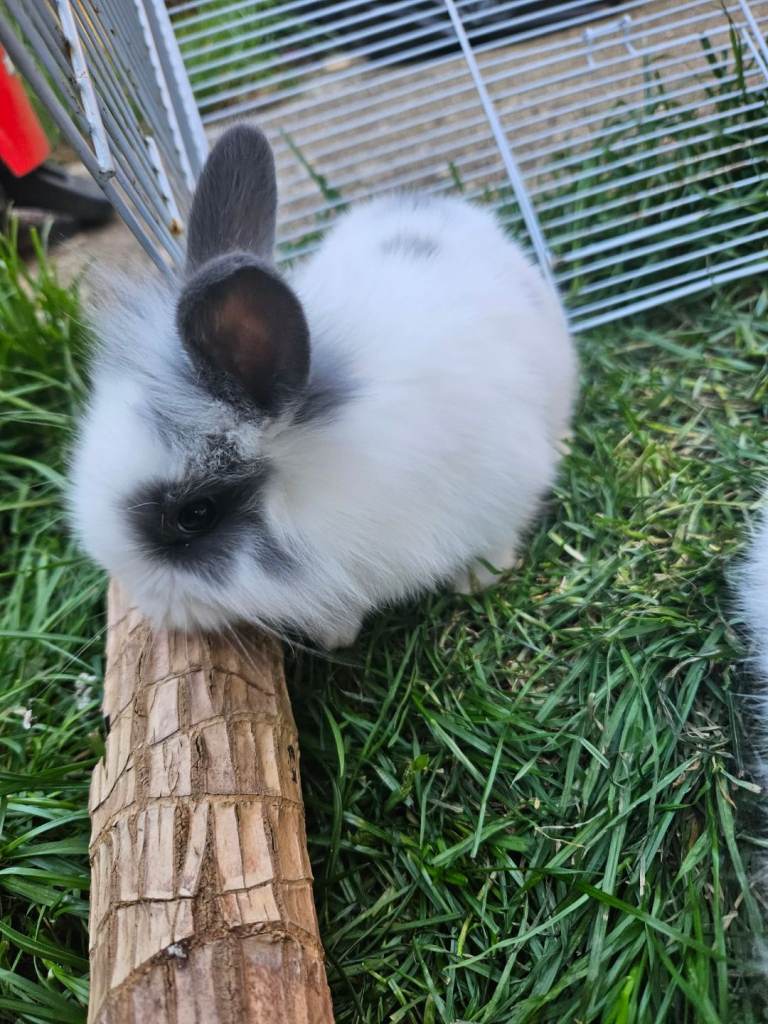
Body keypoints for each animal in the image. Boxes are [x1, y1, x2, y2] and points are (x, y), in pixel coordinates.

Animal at [69, 124, 578, 649]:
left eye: (195, 514)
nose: (154, 611)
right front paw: (336, 636)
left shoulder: (505, 484)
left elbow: (496, 538)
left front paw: (477, 581)